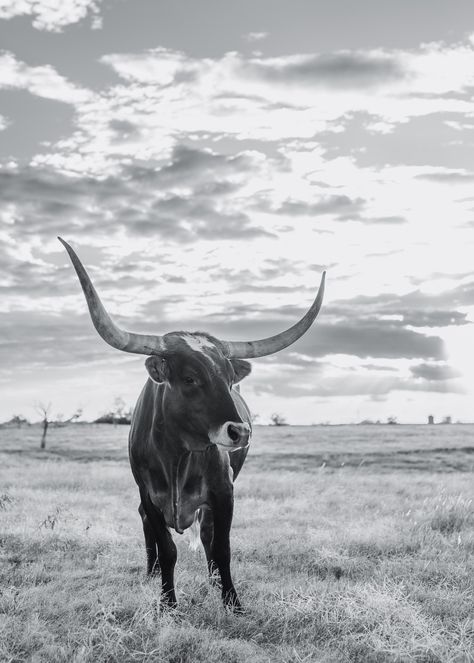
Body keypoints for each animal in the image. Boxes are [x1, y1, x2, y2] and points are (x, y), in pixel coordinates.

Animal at [59, 239, 324, 612]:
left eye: (230, 378)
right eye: (189, 378)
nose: (240, 431)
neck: (176, 456)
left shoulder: (224, 492)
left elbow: (222, 547)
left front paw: (231, 601)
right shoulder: (149, 495)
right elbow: (167, 549)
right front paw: (167, 602)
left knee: (209, 536)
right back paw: (151, 573)